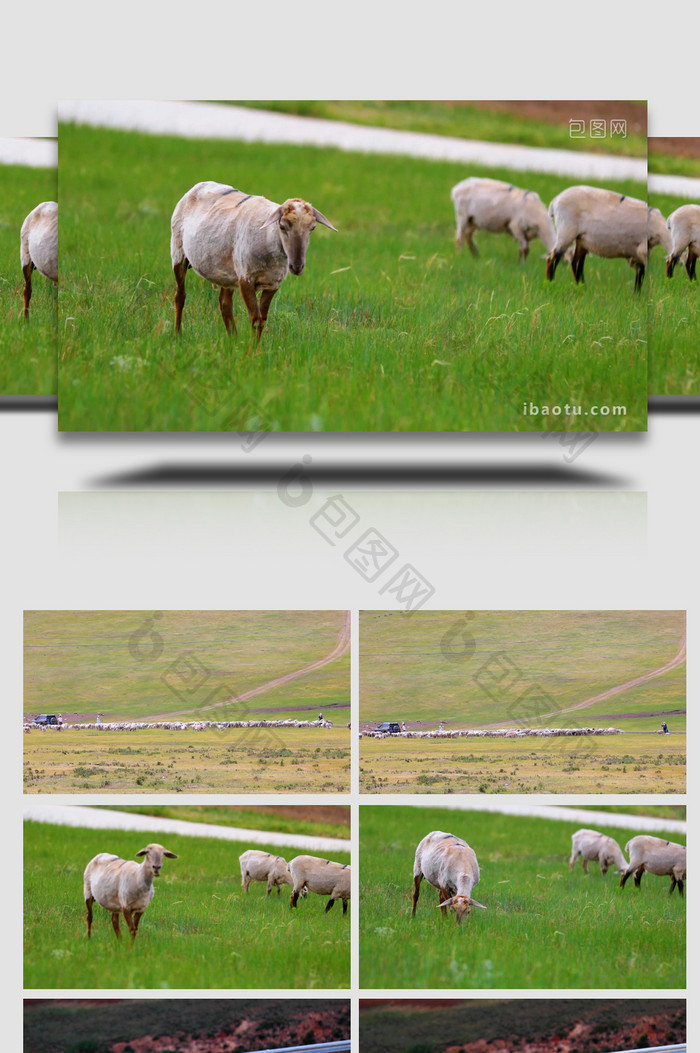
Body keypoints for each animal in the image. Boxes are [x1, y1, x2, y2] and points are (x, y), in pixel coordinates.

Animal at [168, 181, 334, 336]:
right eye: (282, 226)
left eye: (312, 228)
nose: (297, 266)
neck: (269, 239)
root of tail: (200, 185)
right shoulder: (246, 279)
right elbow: (255, 319)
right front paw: (251, 349)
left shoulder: (273, 284)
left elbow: (263, 319)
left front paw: (254, 347)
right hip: (178, 252)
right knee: (180, 296)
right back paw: (177, 335)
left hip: (228, 272)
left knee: (225, 304)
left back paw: (233, 339)